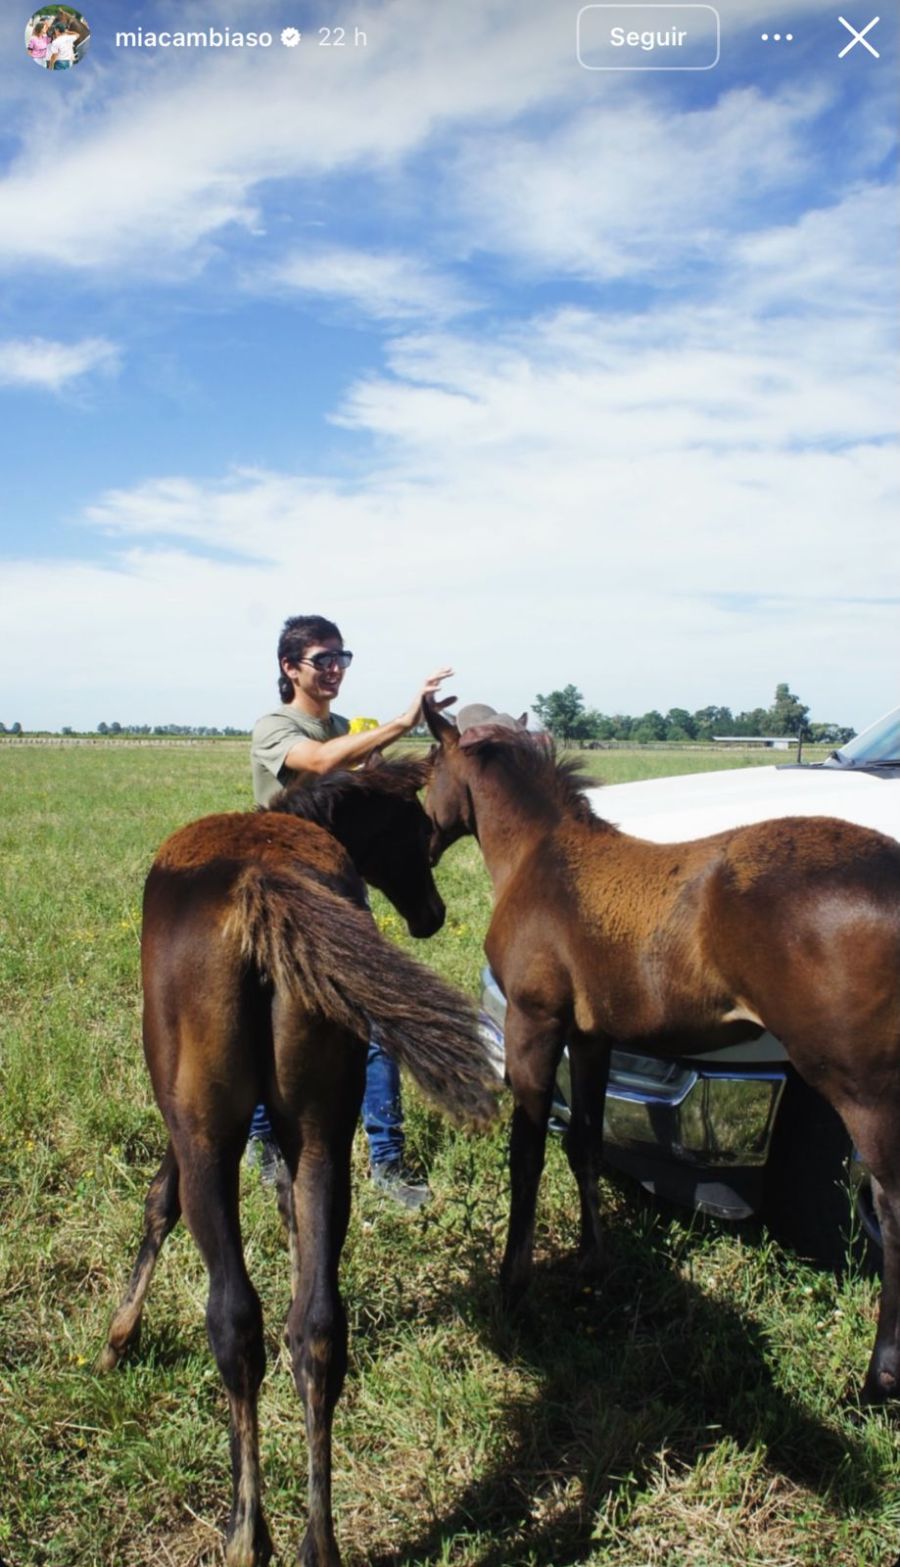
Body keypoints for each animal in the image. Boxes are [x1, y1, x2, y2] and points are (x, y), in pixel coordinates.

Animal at [99, 755, 498, 1567]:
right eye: (416, 827)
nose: (433, 912)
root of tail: (261, 885)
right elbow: (289, 1221)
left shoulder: (187, 1126)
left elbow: (159, 1201)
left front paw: (119, 1336)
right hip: (320, 1130)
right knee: (317, 1327)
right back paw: (320, 1538)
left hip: (207, 1134)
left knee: (234, 1322)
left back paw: (246, 1531)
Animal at [423, 701, 900, 1406]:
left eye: (427, 766)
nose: (424, 837)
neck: (543, 857)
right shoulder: (590, 1036)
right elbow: (584, 1143)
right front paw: (593, 1261)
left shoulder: (534, 1024)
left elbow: (527, 1154)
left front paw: (513, 1287)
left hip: (859, 1084)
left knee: (890, 1210)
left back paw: (877, 1378)